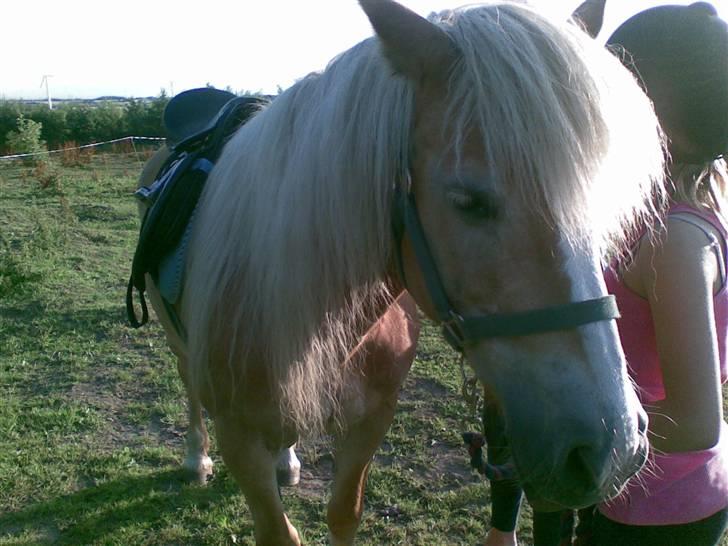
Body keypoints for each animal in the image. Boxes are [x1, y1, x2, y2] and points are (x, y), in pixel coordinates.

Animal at [134, 1, 668, 544]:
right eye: (467, 200)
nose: (614, 449)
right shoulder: (239, 437)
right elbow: (279, 530)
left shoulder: (372, 419)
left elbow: (343, 512)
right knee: (188, 385)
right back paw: (196, 459)